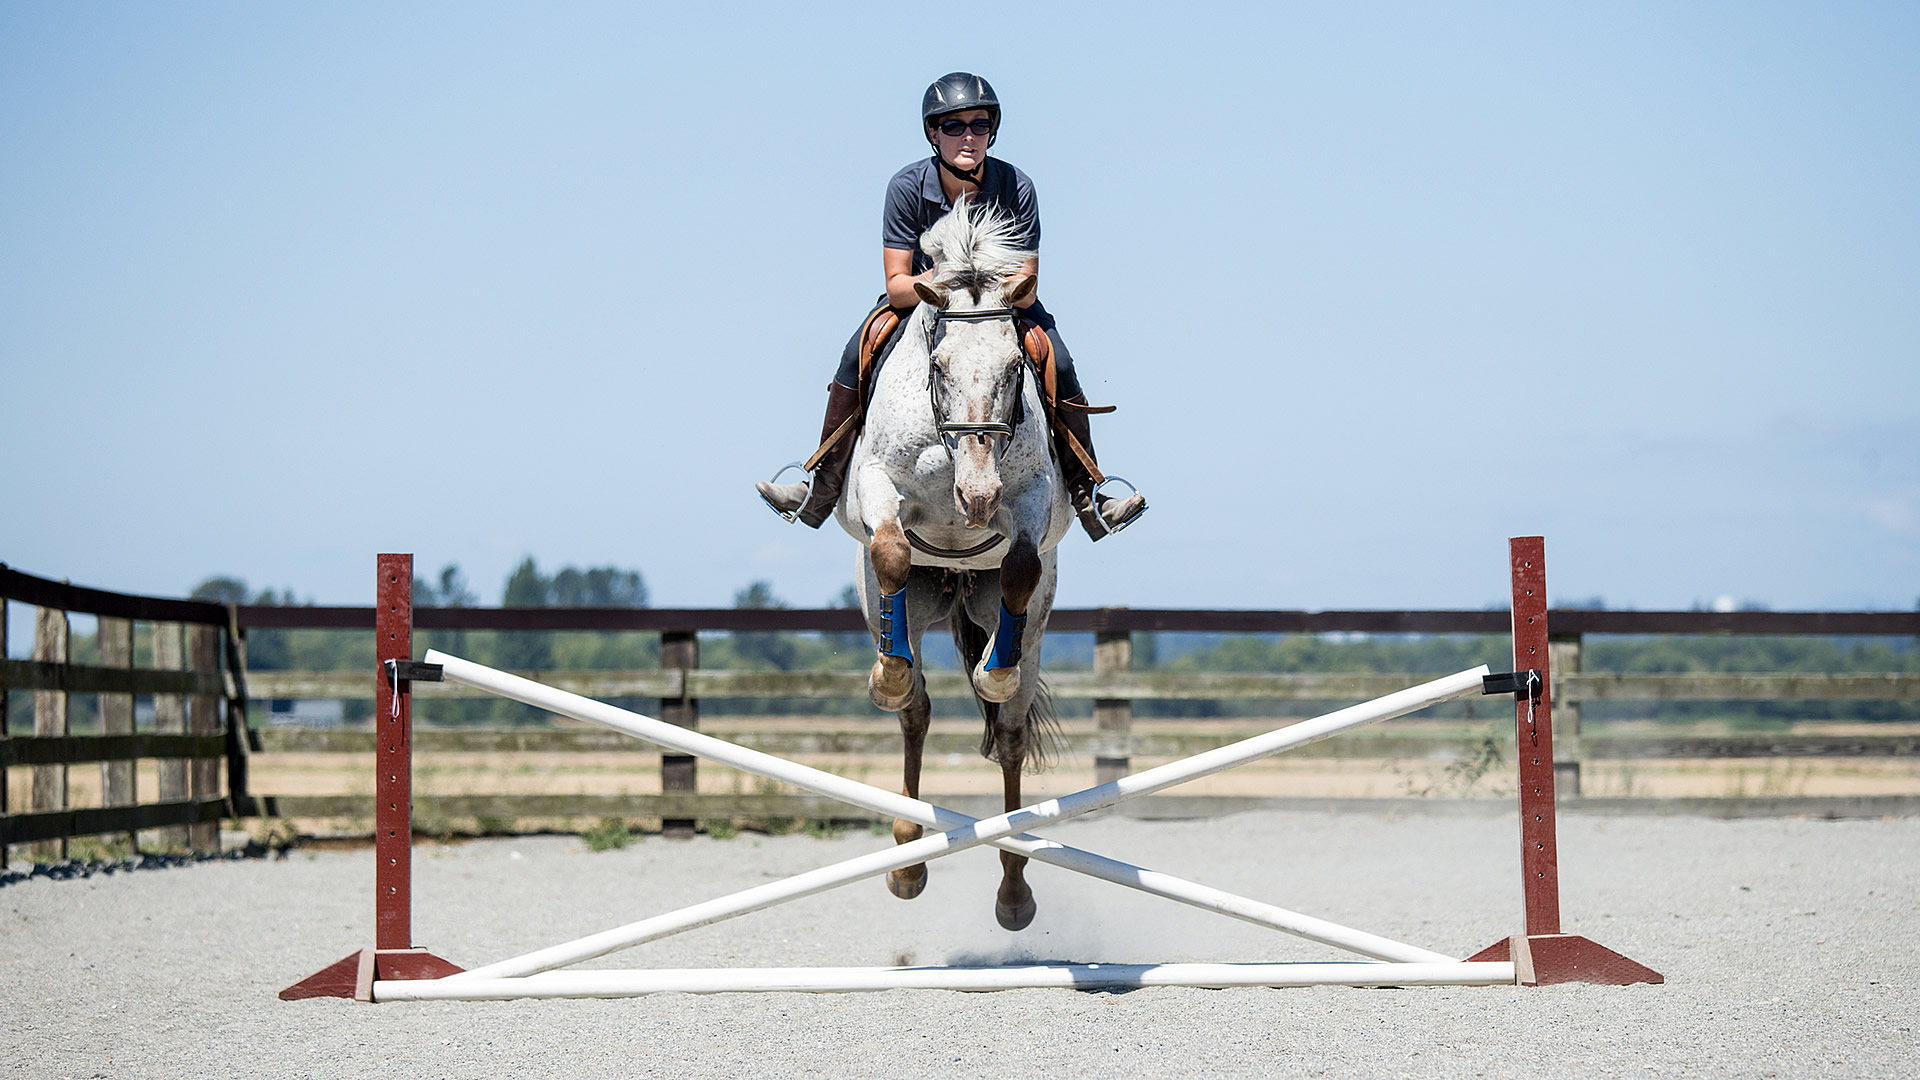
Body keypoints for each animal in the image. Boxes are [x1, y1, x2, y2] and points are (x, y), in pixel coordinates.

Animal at [834, 195, 1071, 932]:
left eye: (1015, 370)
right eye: (938, 367)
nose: (978, 497)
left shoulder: (1030, 502)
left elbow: (1021, 567)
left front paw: (995, 673)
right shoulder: (877, 488)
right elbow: (888, 546)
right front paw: (886, 677)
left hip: (1021, 623)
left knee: (1013, 734)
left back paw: (1015, 890)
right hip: (911, 602)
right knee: (915, 709)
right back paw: (907, 859)